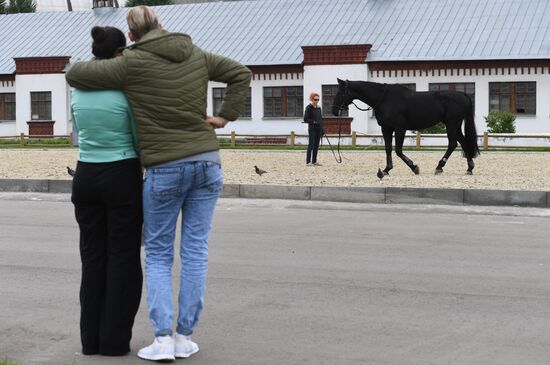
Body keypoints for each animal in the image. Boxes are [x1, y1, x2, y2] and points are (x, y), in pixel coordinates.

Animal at [330, 79, 480, 175]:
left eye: (341, 92)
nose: (334, 111)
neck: (384, 99)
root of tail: (463, 95)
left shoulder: (399, 128)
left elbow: (398, 150)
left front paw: (414, 167)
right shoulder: (386, 128)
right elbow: (388, 149)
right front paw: (386, 170)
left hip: (451, 124)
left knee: (453, 143)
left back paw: (439, 167)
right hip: (455, 125)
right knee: (463, 142)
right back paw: (469, 168)